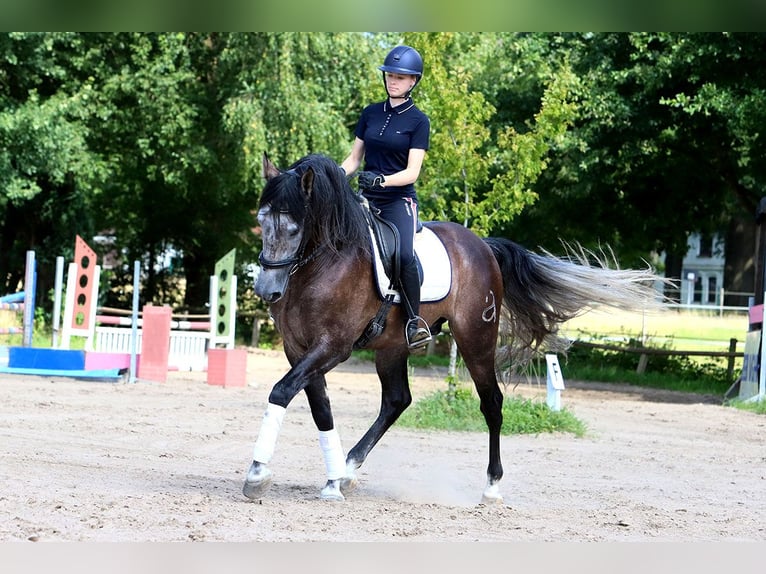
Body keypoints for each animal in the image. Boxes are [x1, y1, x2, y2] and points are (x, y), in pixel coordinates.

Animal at [244, 152, 663, 504]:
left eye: (294, 228)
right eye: (261, 222)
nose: (266, 290)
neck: (321, 264)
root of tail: (482, 245)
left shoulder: (333, 346)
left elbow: (282, 391)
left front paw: (257, 473)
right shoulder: (299, 348)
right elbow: (320, 409)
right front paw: (331, 481)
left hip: (476, 339)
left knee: (491, 402)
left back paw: (492, 486)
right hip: (392, 345)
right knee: (397, 400)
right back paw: (347, 470)